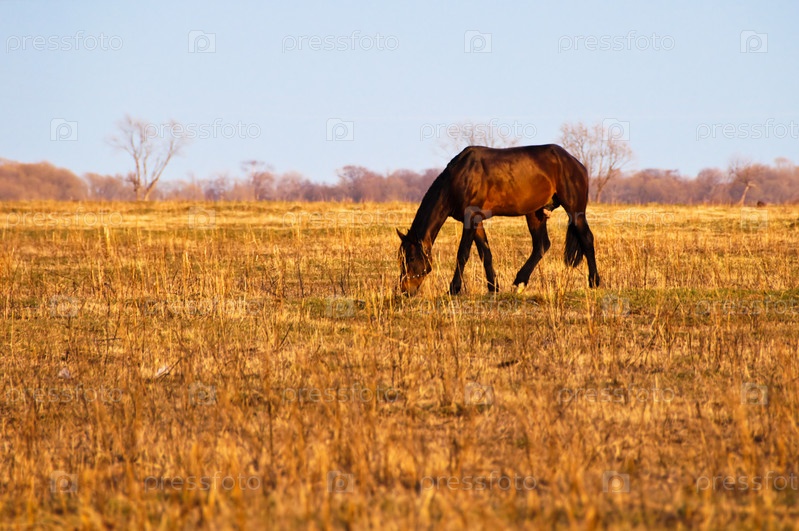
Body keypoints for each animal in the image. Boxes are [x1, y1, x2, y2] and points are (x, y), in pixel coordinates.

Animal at [397, 144, 600, 296]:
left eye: (412, 258)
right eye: (401, 258)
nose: (405, 290)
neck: (459, 178)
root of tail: (576, 163)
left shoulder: (471, 217)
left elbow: (463, 254)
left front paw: (454, 289)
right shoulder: (476, 220)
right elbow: (485, 253)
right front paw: (493, 287)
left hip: (575, 210)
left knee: (587, 239)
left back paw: (594, 281)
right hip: (535, 213)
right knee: (541, 245)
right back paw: (520, 282)